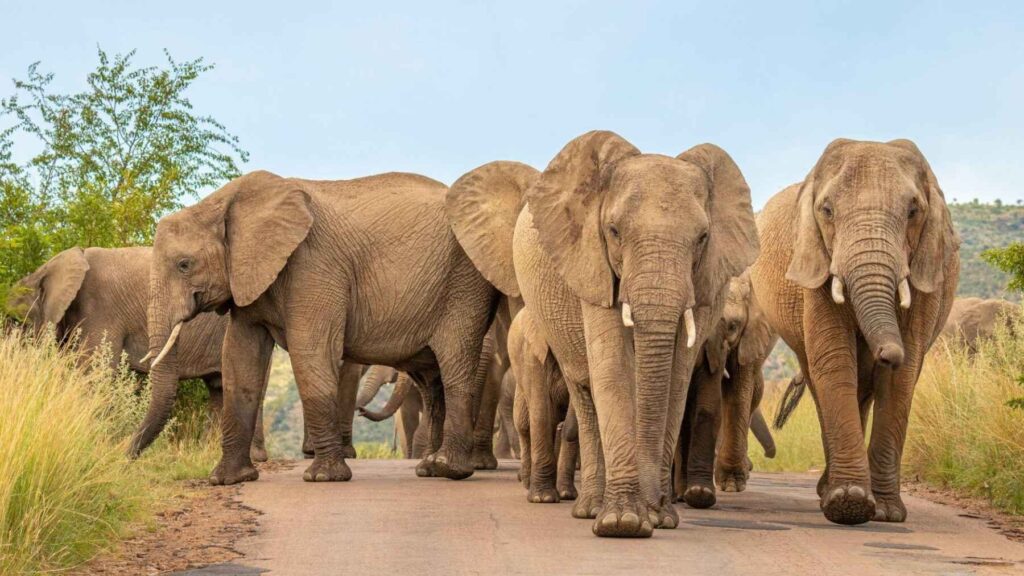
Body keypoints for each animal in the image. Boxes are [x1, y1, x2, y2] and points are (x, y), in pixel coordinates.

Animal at [5, 246, 268, 461]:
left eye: (16, 322)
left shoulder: (99, 310)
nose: (121, 456)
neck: (45, 270)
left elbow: (94, 373)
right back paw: (208, 453)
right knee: (218, 387)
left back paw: (253, 457)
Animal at [145, 170, 500, 485]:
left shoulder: (312, 265)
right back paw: (429, 468)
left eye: (184, 265)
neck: (223, 203)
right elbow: (239, 359)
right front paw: (226, 480)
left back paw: (450, 469)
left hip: (464, 286)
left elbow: (310, 351)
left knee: (454, 367)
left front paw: (323, 477)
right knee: (432, 382)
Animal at [508, 306, 579, 503]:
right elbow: (541, 410)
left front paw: (566, 494)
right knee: (524, 425)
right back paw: (527, 482)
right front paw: (543, 498)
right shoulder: (533, 353)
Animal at [750, 138, 960, 525]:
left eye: (913, 211)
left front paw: (886, 512)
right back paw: (828, 492)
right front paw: (849, 503)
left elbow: (902, 376)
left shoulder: (927, 271)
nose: (886, 352)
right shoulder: (816, 264)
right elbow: (835, 360)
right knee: (823, 381)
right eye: (827, 210)